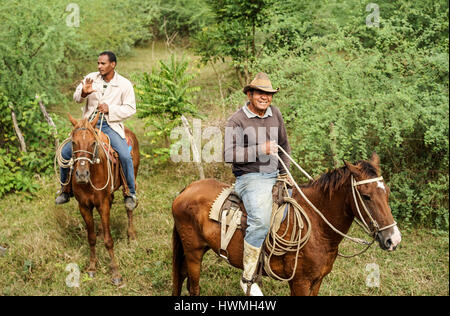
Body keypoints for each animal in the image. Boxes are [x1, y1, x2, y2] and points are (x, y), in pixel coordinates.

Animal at [67, 113, 139, 284]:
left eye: (93, 143)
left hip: (131, 178)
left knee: (129, 206)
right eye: (73, 142)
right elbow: (91, 238)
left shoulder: (103, 204)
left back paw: (131, 235)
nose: (81, 175)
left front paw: (115, 273)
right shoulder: (84, 206)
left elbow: (108, 240)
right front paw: (92, 268)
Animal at [171, 153, 400, 296]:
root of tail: (187, 189)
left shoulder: (317, 280)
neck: (317, 226)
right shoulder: (299, 282)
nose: (393, 239)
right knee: (193, 287)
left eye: (387, 192)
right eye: (366, 196)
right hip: (193, 252)